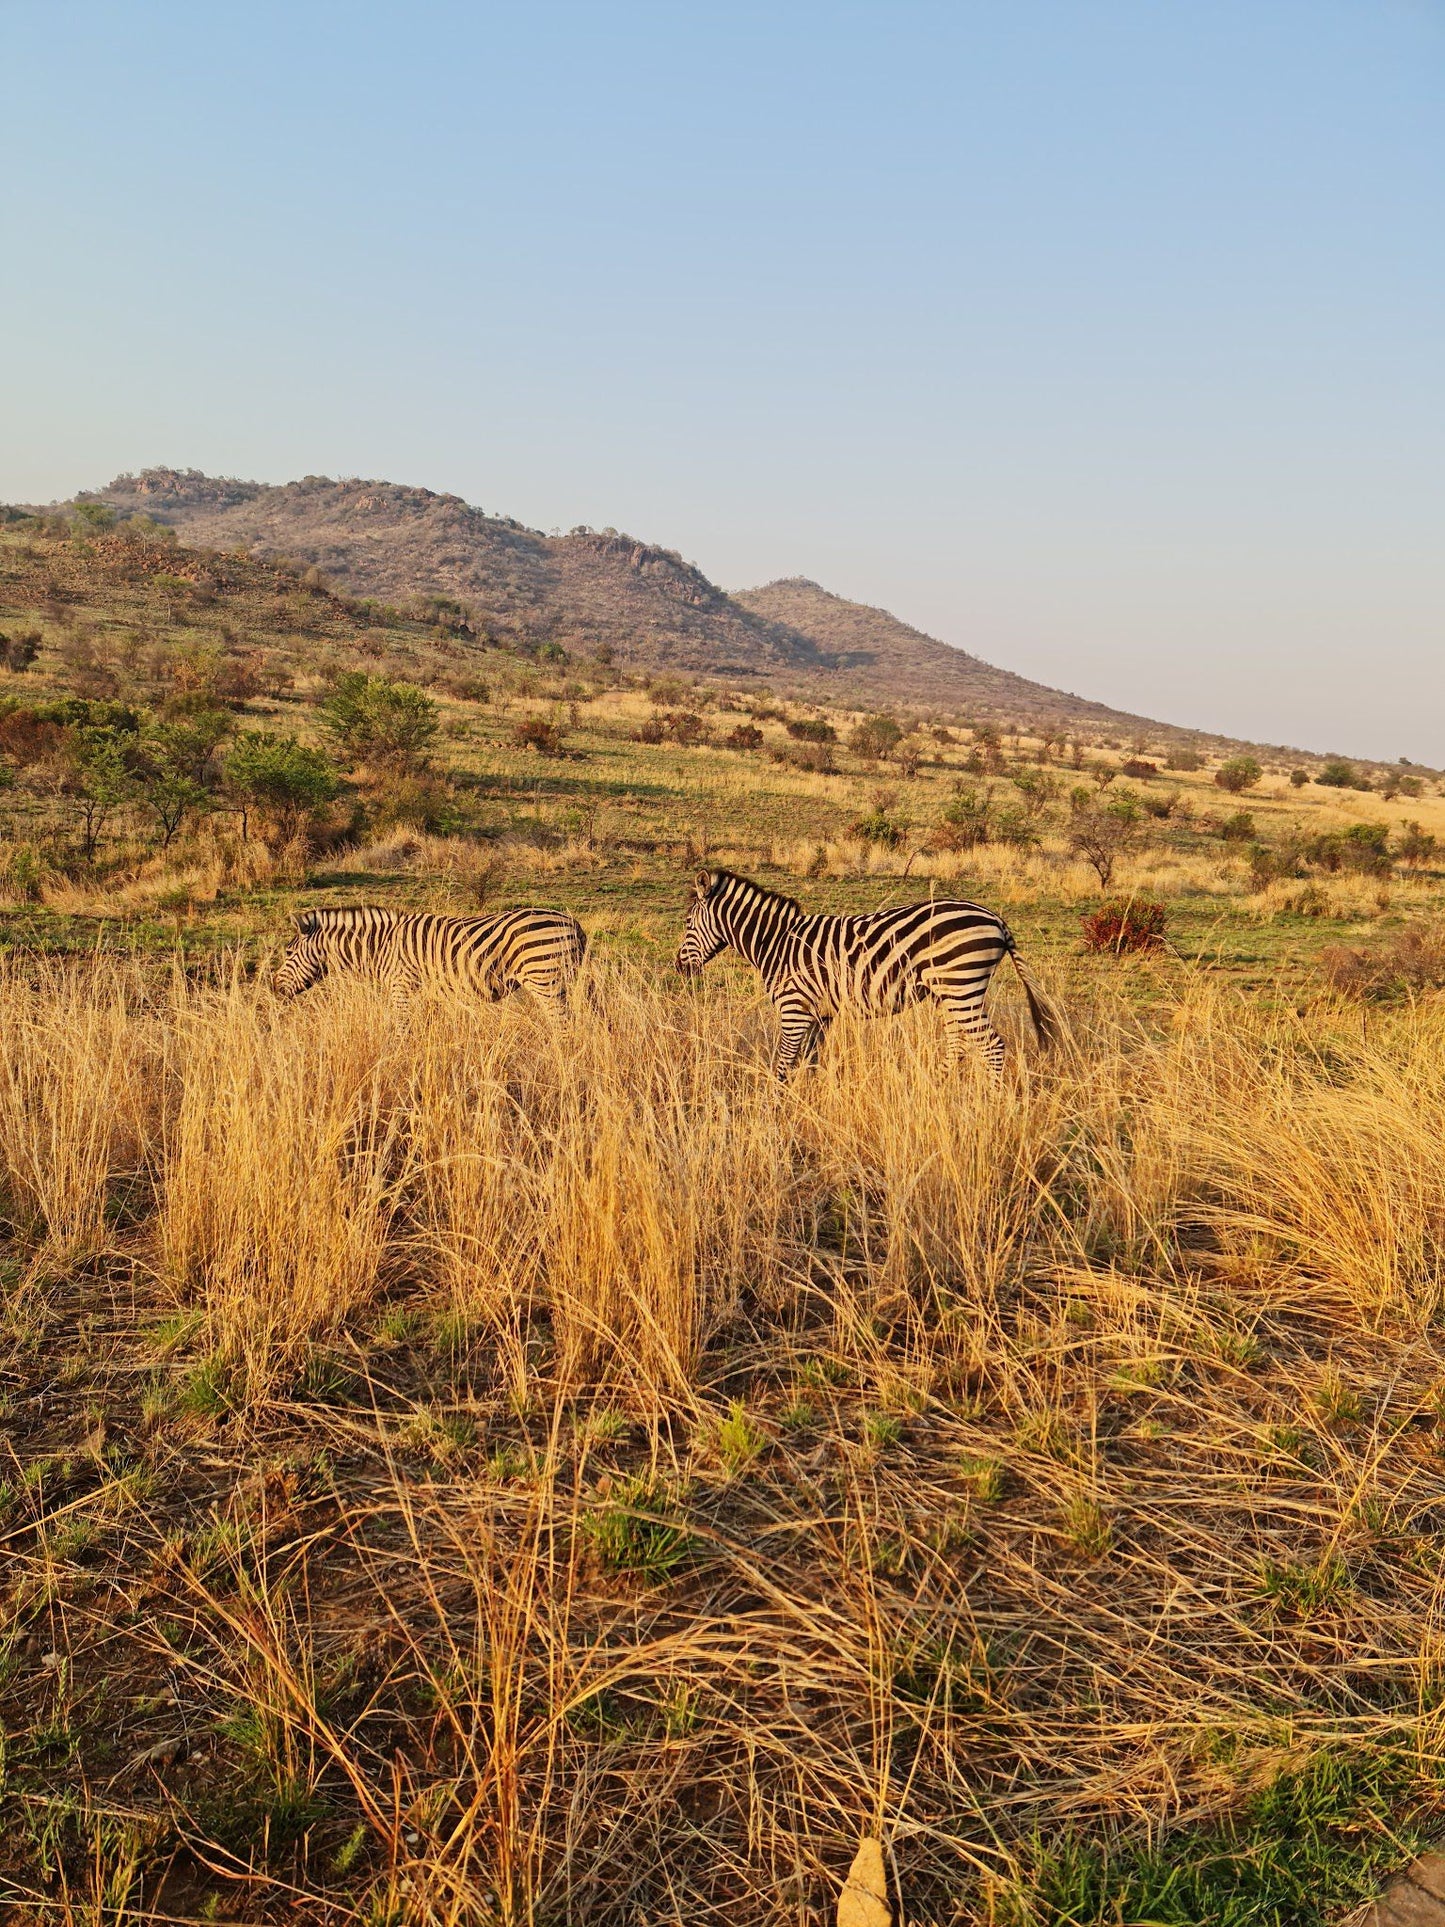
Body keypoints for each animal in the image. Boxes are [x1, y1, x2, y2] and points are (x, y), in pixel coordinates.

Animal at [273, 905, 585, 1009]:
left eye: (288, 953)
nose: (274, 987)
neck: (380, 946)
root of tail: (572, 922)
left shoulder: (401, 988)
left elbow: (402, 1033)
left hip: (545, 980)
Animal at [674, 878, 1055, 1086]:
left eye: (688, 923)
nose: (678, 966)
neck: (777, 943)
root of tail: (996, 920)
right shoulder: (820, 1014)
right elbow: (810, 1061)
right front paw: (811, 1100)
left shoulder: (794, 1008)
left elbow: (783, 1063)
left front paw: (777, 1106)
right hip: (951, 993)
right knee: (958, 1043)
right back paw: (937, 1087)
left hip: (961, 986)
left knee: (991, 1046)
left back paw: (988, 1103)